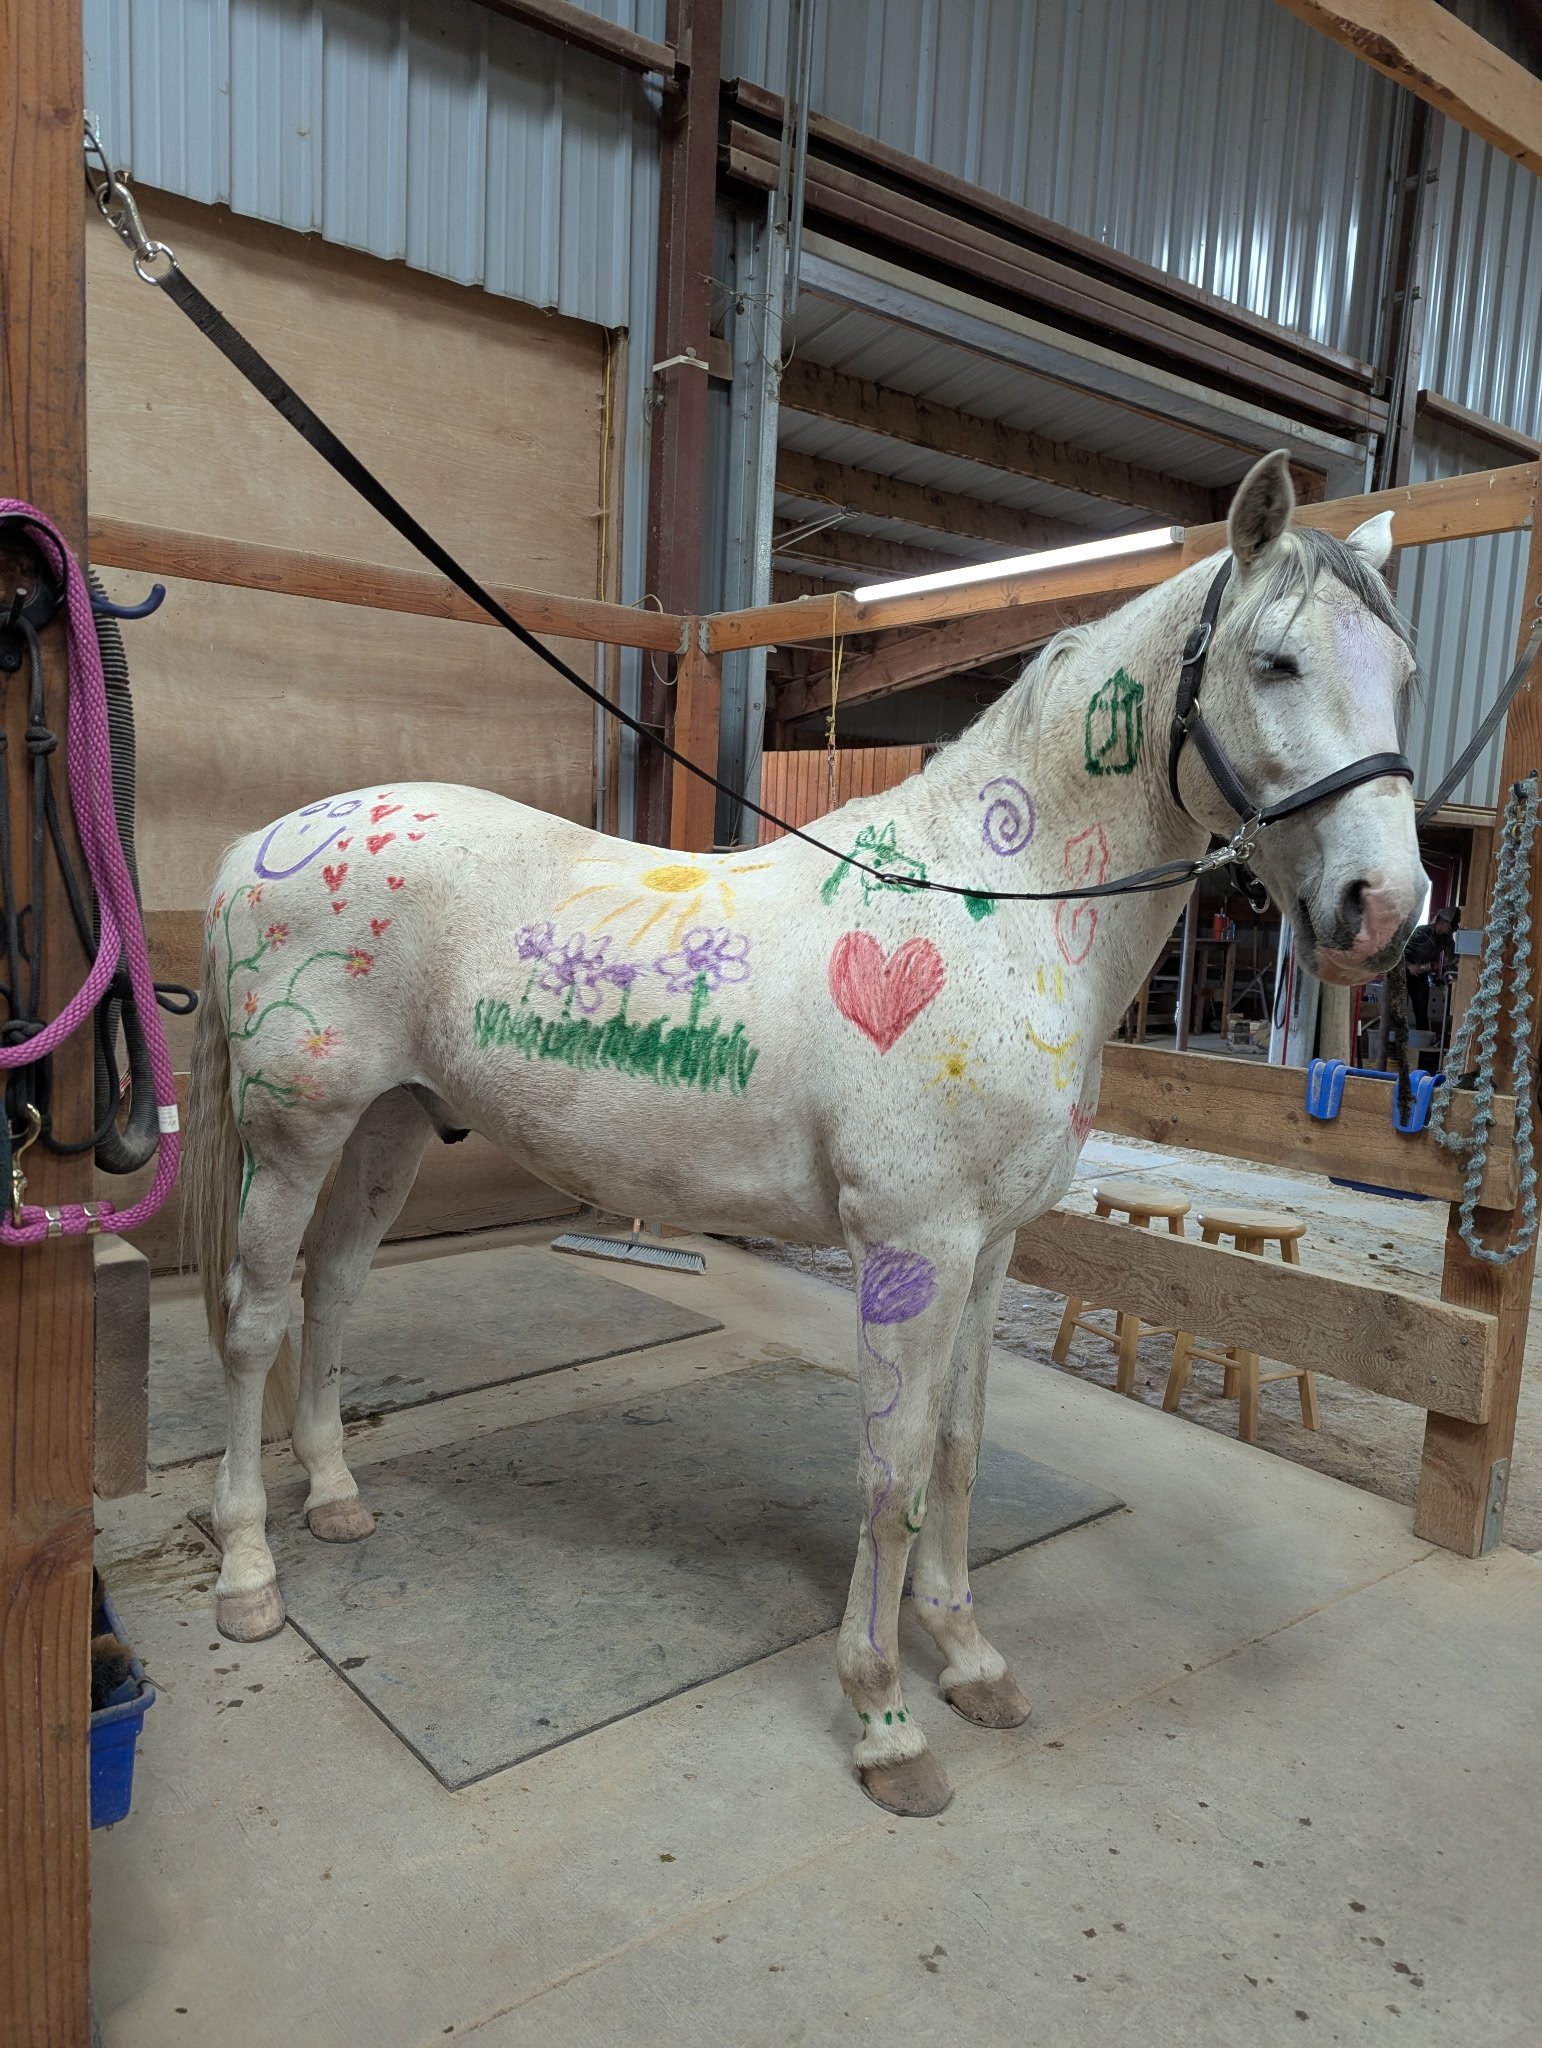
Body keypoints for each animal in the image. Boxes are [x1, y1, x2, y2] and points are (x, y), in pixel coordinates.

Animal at [185, 453, 1425, 1816]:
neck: (996, 907)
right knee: (255, 1321)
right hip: (294, 1139)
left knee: (335, 1292)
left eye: (1404, 669)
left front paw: (970, 1657)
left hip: (392, 1127)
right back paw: (249, 1569)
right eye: (1276, 662)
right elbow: (891, 1474)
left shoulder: (989, 1250)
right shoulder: (912, 1248)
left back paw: (336, 1497)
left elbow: (960, 1453)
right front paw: (885, 1716)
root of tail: (264, 845)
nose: (1384, 909)